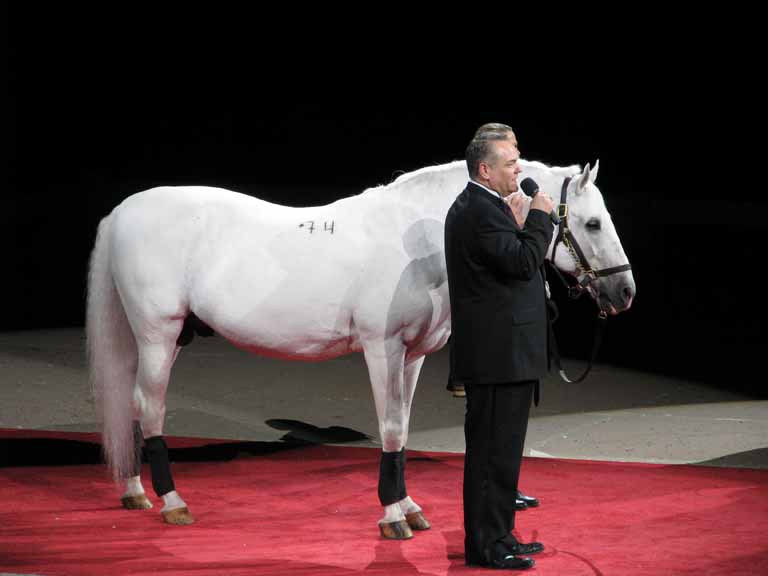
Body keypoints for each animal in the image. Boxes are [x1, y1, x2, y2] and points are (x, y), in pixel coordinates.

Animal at [87, 156, 632, 536]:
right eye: (592, 223)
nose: (625, 292)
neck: (421, 241)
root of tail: (122, 211)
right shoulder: (382, 348)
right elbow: (389, 427)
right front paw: (392, 516)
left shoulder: (413, 357)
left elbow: (403, 429)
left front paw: (409, 508)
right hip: (158, 333)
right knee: (151, 407)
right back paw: (173, 503)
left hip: (159, 338)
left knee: (133, 403)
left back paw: (135, 491)